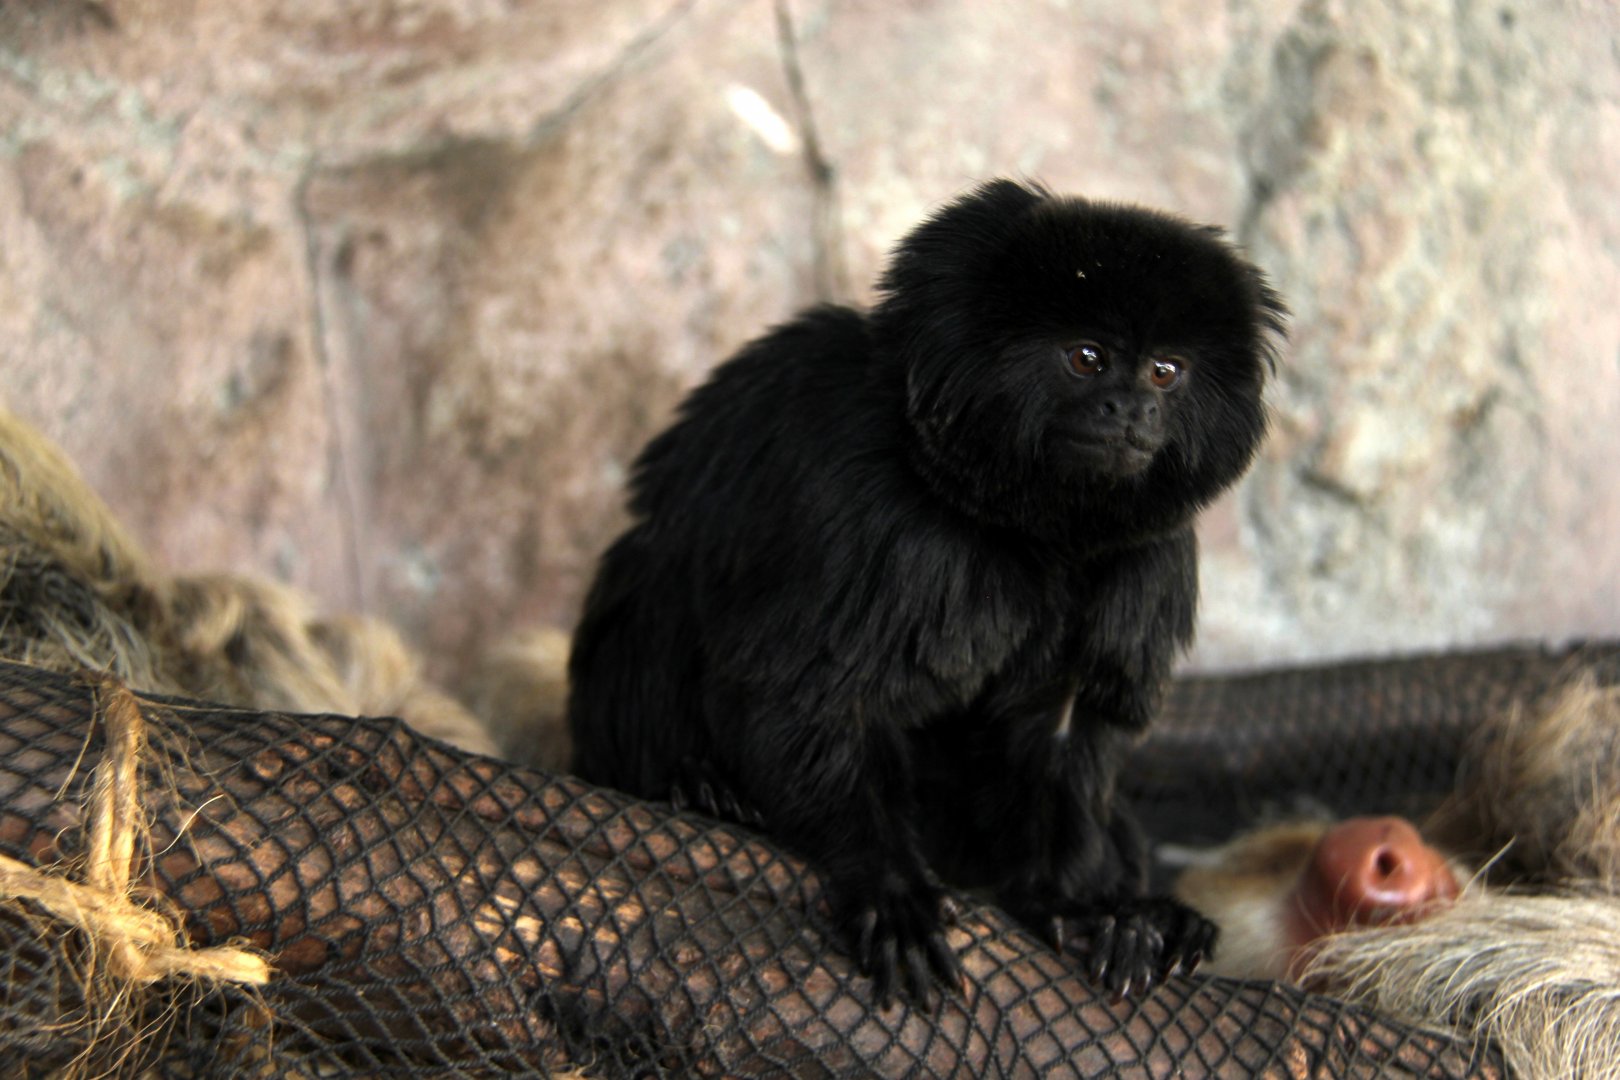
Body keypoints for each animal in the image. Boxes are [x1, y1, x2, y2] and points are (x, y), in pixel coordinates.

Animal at [567, 179, 1286, 1004]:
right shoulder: (876, 513)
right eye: (1087, 358)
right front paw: (887, 885)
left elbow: (1063, 729)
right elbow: (805, 692)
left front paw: (1083, 907)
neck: (1026, 531)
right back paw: (694, 782)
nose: (1134, 411)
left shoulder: (1148, 561)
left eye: (1167, 371)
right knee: (659, 573)